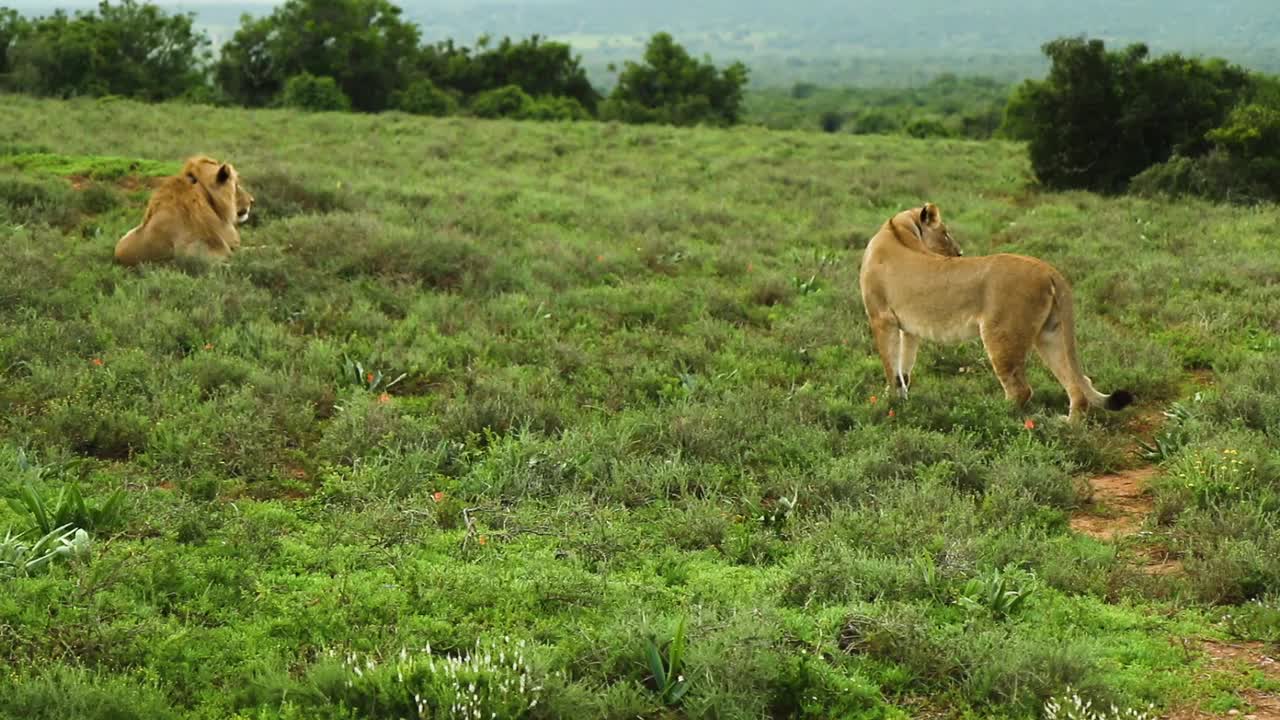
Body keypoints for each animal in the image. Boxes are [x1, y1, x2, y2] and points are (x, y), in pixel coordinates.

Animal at [855, 202, 1136, 417]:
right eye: (946, 233)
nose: (960, 253)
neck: (898, 230)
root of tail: (1048, 269)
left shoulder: (881, 319)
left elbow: (890, 366)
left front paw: (890, 403)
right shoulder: (907, 329)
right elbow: (903, 367)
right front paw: (901, 398)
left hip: (1001, 335)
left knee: (1020, 390)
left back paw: (993, 415)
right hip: (1051, 335)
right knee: (1079, 384)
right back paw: (1068, 427)